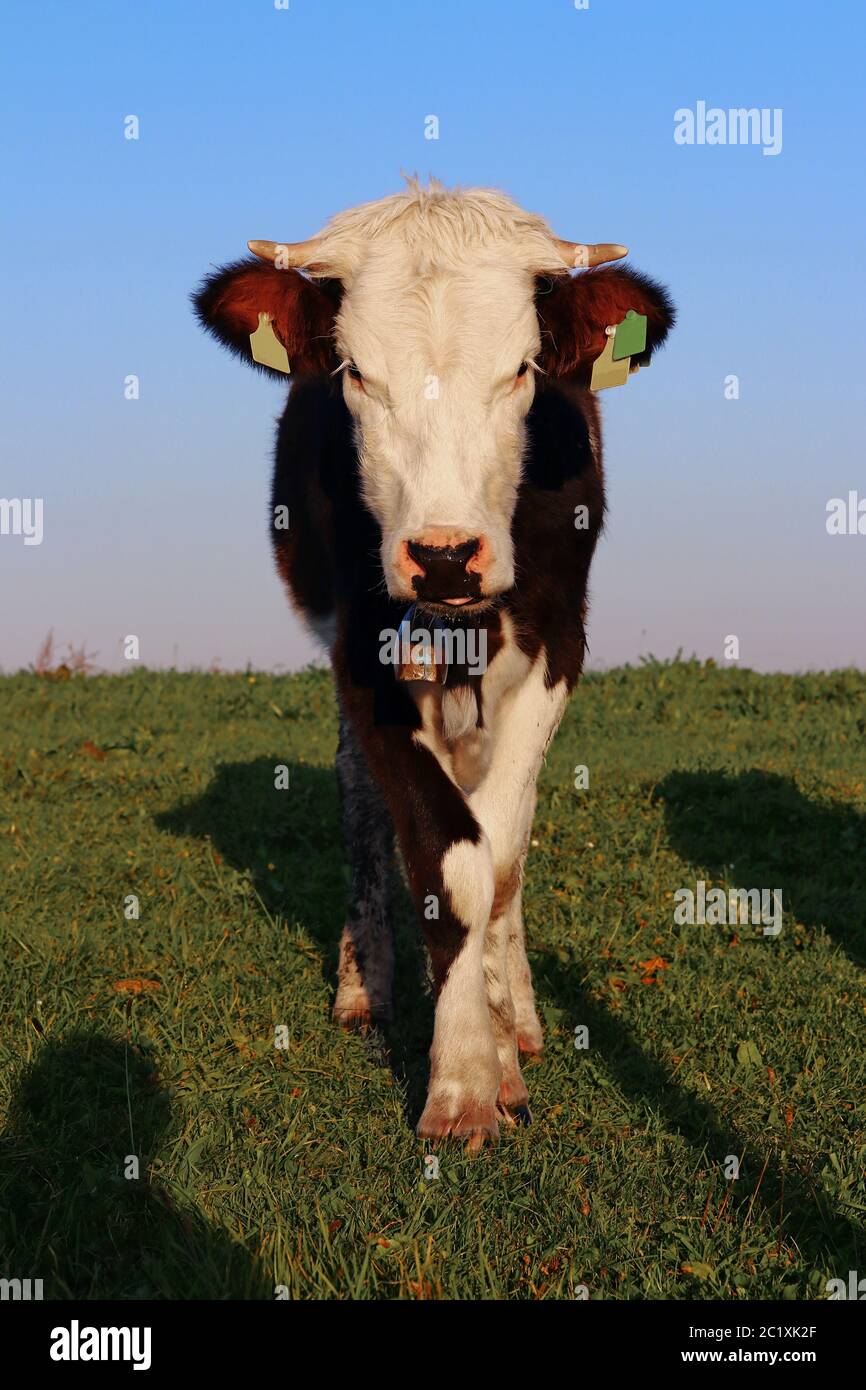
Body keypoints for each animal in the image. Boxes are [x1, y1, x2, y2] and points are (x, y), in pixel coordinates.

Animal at [193, 176, 675, 1150]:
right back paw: (365, 984)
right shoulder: (364, 649)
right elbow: (446, 857)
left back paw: (515, 1013)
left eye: (522, 368)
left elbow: (498, 850)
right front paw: (463, 1081)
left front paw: (496, 1036)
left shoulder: (560, 640)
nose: (446, 555)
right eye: (355, 373)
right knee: (363, 797)